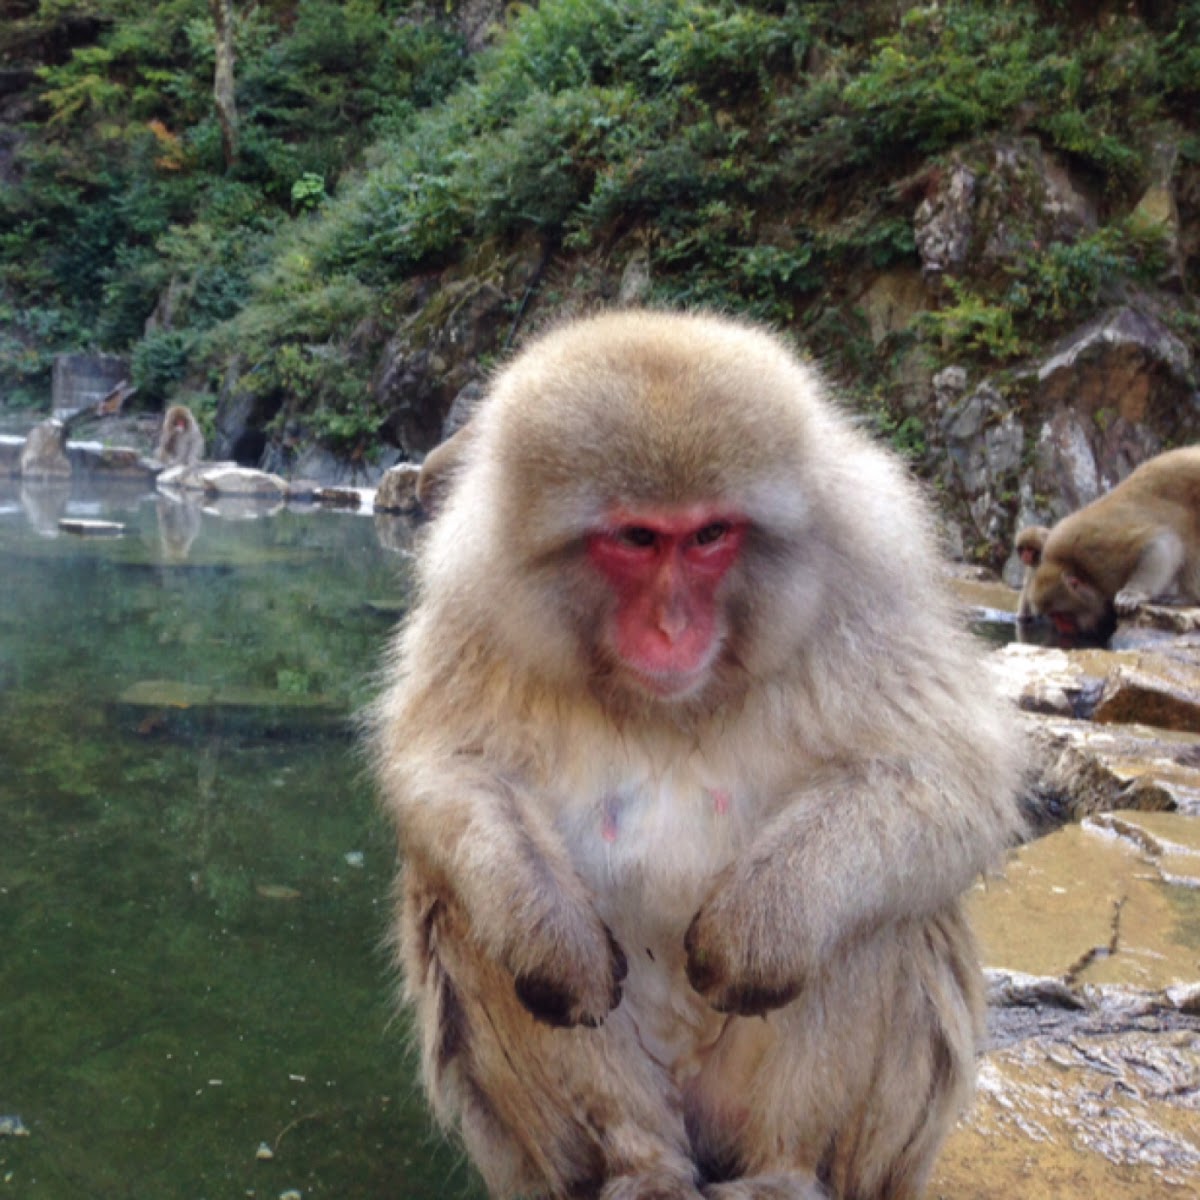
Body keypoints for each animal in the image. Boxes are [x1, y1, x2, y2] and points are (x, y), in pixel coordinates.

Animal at [372, 309, 1022, 1200]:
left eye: (711, 535)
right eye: (638, 538)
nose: (674, 627)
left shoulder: (867, 582)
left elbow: (944, 774)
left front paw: (761, 929)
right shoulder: (474, 600)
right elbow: (448, 768)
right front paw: (552, 940)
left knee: (879, 914)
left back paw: (784, 1172)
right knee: (465, 912)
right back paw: (638, 1165)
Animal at [1027, 448, 1200, 638]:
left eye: (1061, 615)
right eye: (1053, 616)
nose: (1061, 627)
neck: (1076, 566)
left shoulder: (1099, 555)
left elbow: (1162, 544)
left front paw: (1132, 593)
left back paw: (1189, 596)